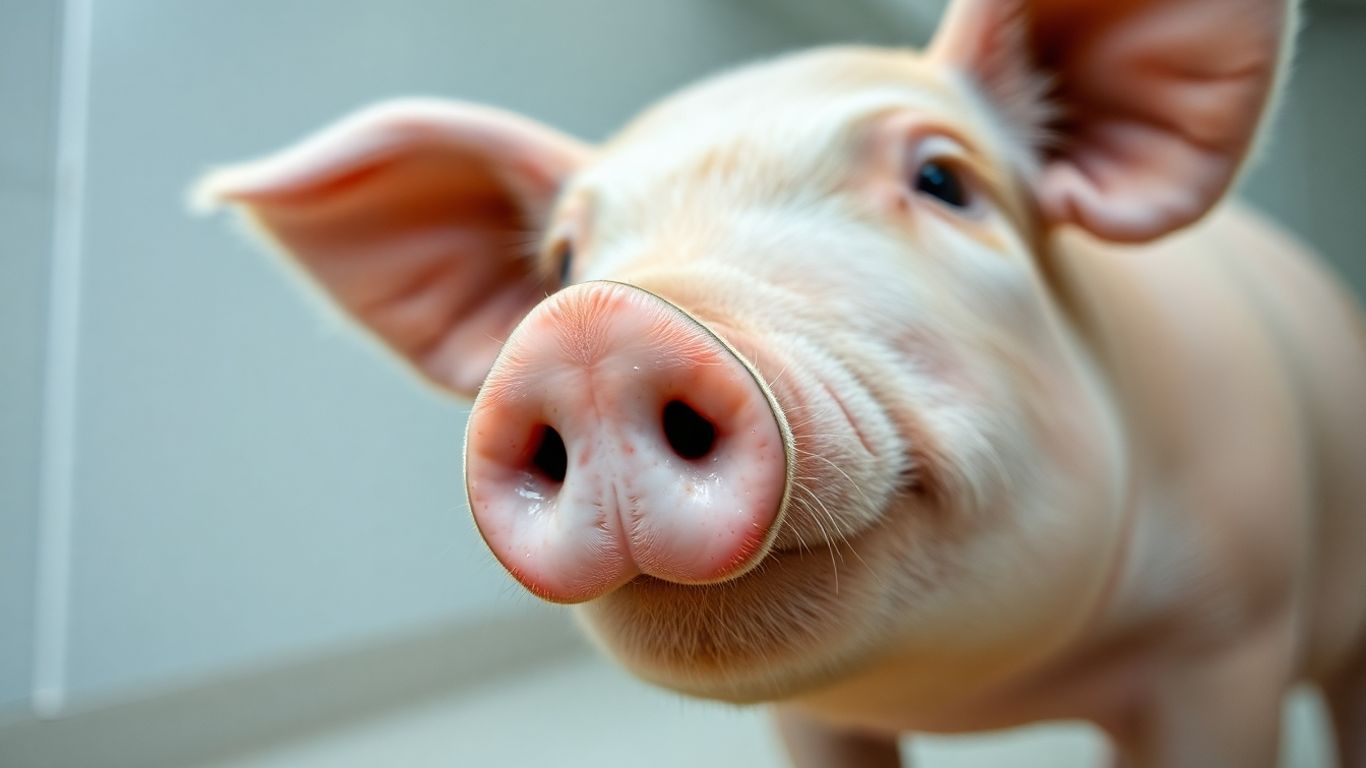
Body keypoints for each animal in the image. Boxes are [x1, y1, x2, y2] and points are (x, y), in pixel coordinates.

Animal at [195, 0, 1366, 764]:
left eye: (944, 180)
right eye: (563, 261)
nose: (589, 328)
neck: (993, 699)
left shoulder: (1226, 637)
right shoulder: (812, 717)